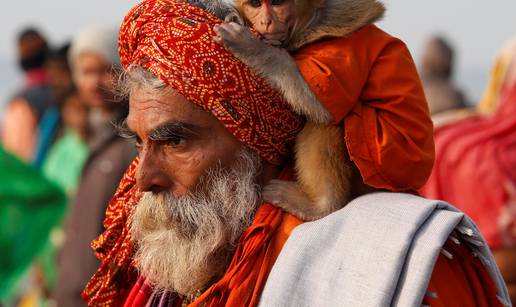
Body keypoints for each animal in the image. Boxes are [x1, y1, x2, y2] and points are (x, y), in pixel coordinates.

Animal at [212, 0, 390, 221]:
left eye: (277, 3)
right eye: (255, 4)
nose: (266, 21)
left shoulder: (346, 47)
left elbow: (320, 106)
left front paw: (250, 47)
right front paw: (236, 18)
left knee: (330, 122)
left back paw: (320, 206)